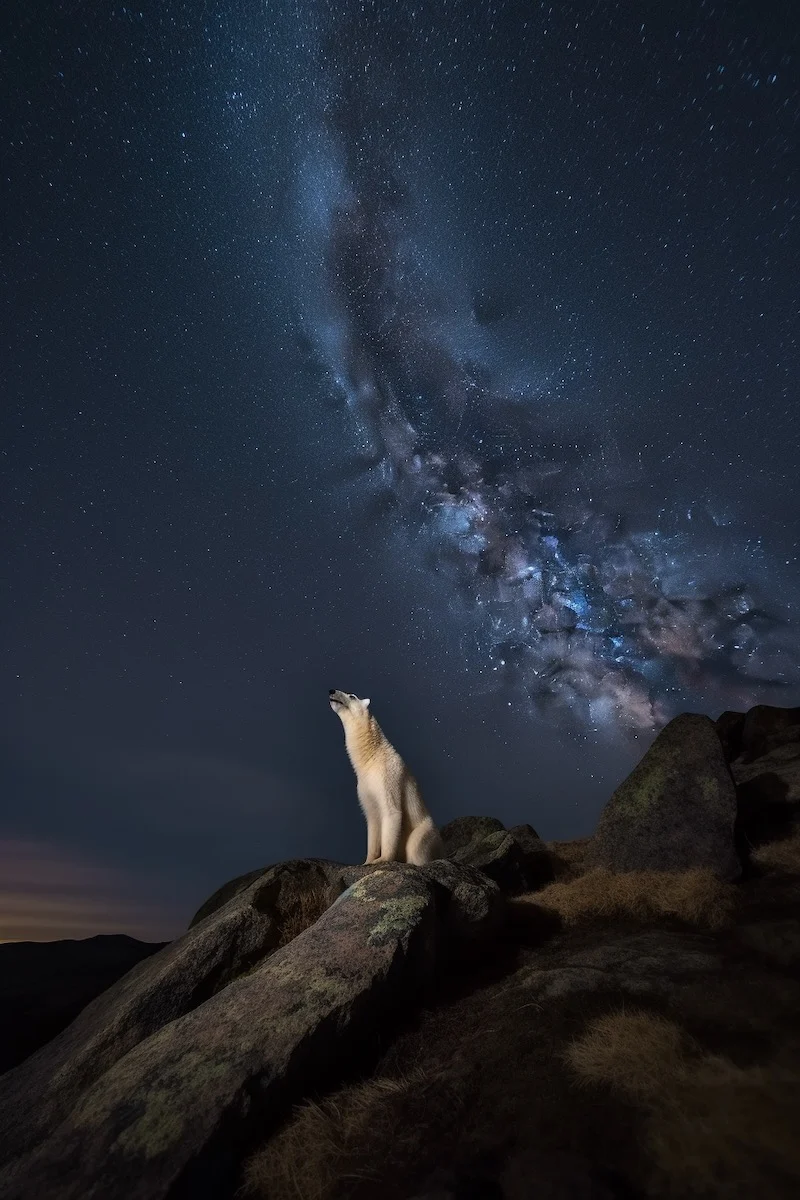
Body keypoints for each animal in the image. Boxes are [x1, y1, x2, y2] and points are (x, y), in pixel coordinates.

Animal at [328, 689, 444, 865]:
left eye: (352, 696)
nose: (332, 690)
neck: (372, 757)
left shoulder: (388, 776)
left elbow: (392, 812)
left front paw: (382, 859)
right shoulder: (365, 785)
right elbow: (372, 819)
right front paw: (367, 860)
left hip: (424, 832)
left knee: (416, 847)